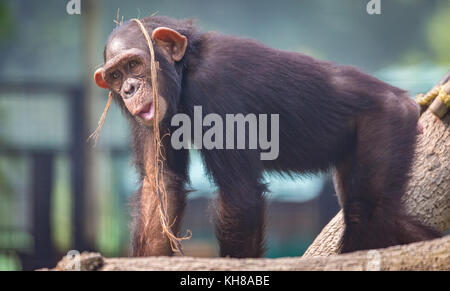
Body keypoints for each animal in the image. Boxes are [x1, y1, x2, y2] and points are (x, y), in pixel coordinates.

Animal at [92, 15, 440, 258]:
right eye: (116, 75)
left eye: (134, 63)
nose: (129, 88)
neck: (187, 70)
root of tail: (405, 98)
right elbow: (160, 184)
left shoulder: (218, 90)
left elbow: (239, 198)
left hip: (387, 122)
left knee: (367, 210)